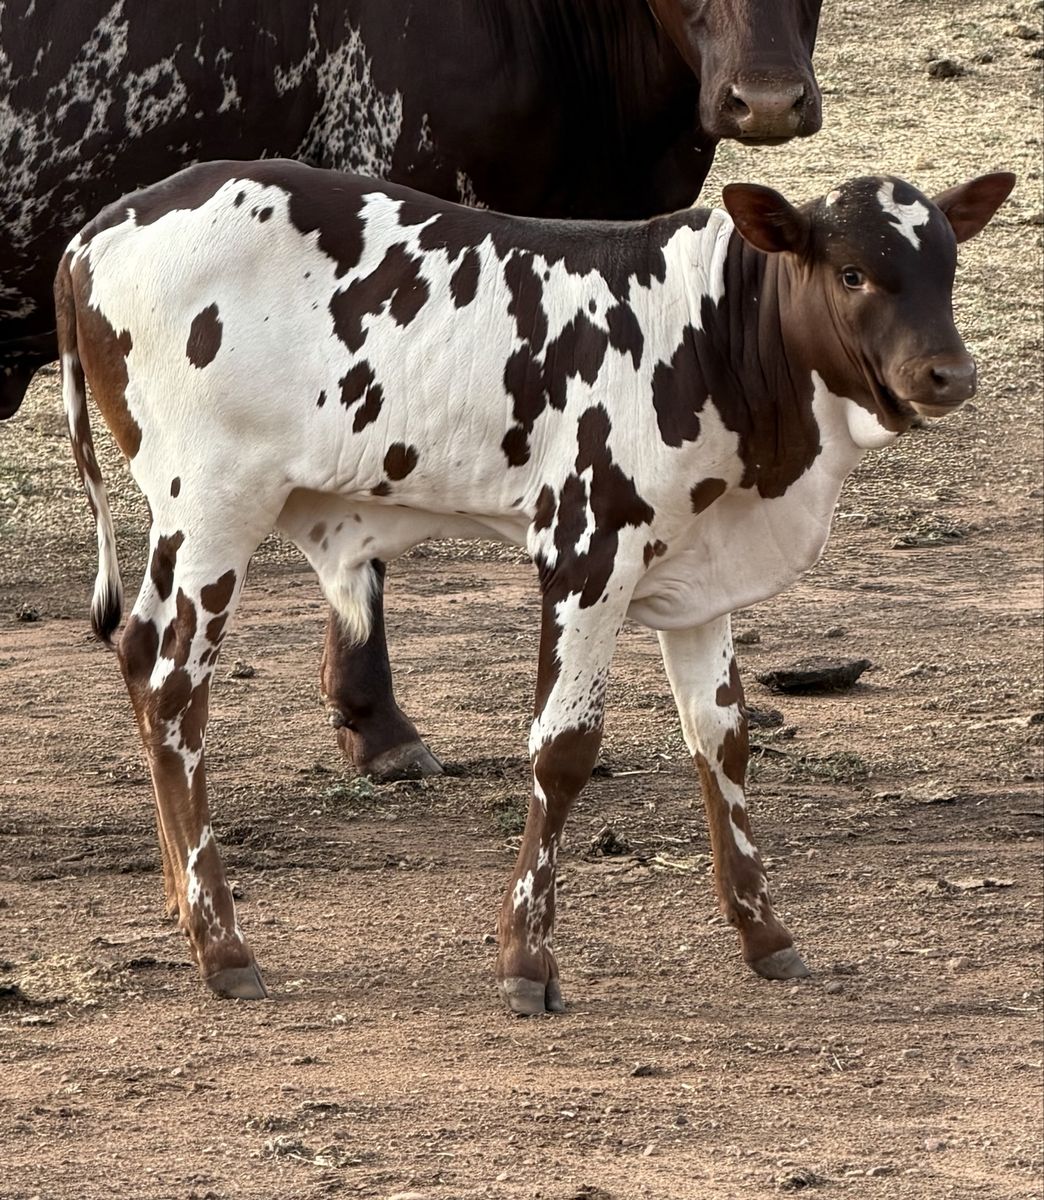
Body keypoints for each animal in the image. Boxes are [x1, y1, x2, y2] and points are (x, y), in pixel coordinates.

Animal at [54, 158, 1013, 1010]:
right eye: (853, 272)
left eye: (947, 268)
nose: (950, 374)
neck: (710, 332)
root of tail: (95, 235)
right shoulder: (588, 553)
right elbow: (565, 750)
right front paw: (527, 961)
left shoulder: (697, 581)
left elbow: (723, 741)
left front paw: (765, 936)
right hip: (214, 512)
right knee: (175, 694)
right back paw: (223, 946)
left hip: (179, 530)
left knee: (138, 660)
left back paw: (184, 909)